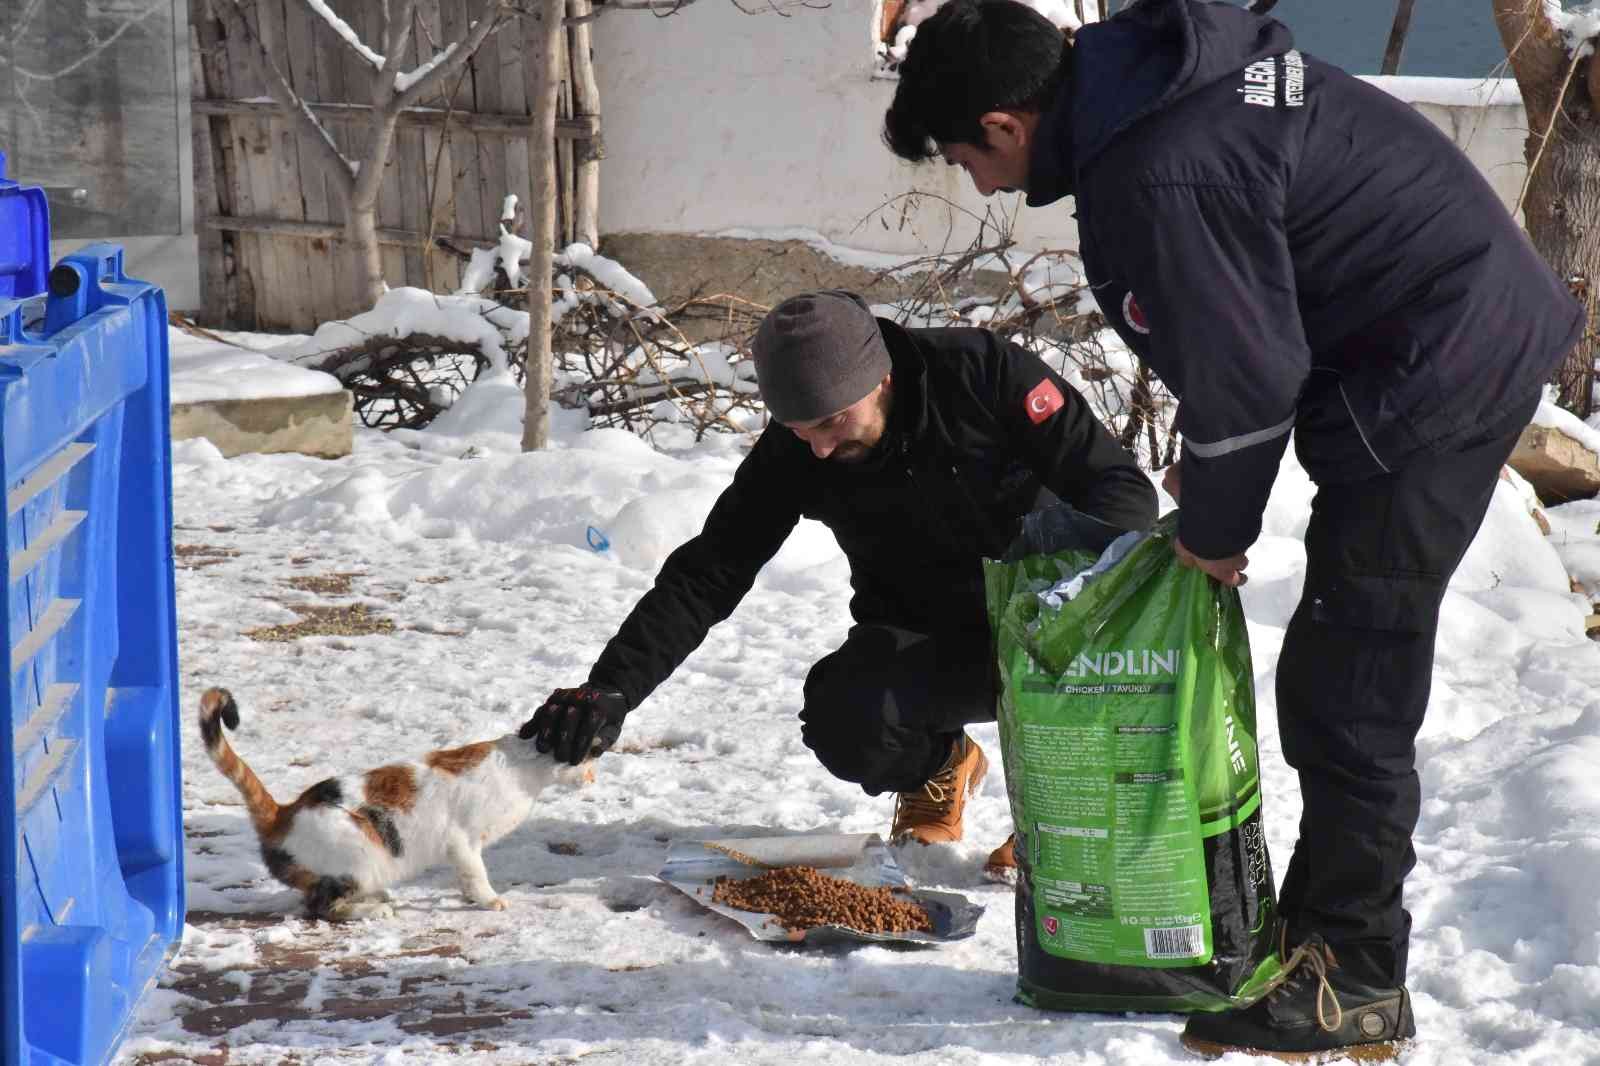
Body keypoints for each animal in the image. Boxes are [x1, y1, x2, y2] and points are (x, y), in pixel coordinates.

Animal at [200, 685, 588, 915]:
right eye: (591, 757)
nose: (592, 777)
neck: (523, 763)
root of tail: (282, 814)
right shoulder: (462, 841)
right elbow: (475, 874)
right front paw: (488, 900)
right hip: (359, 856)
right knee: (321, 907)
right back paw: (372, 909)